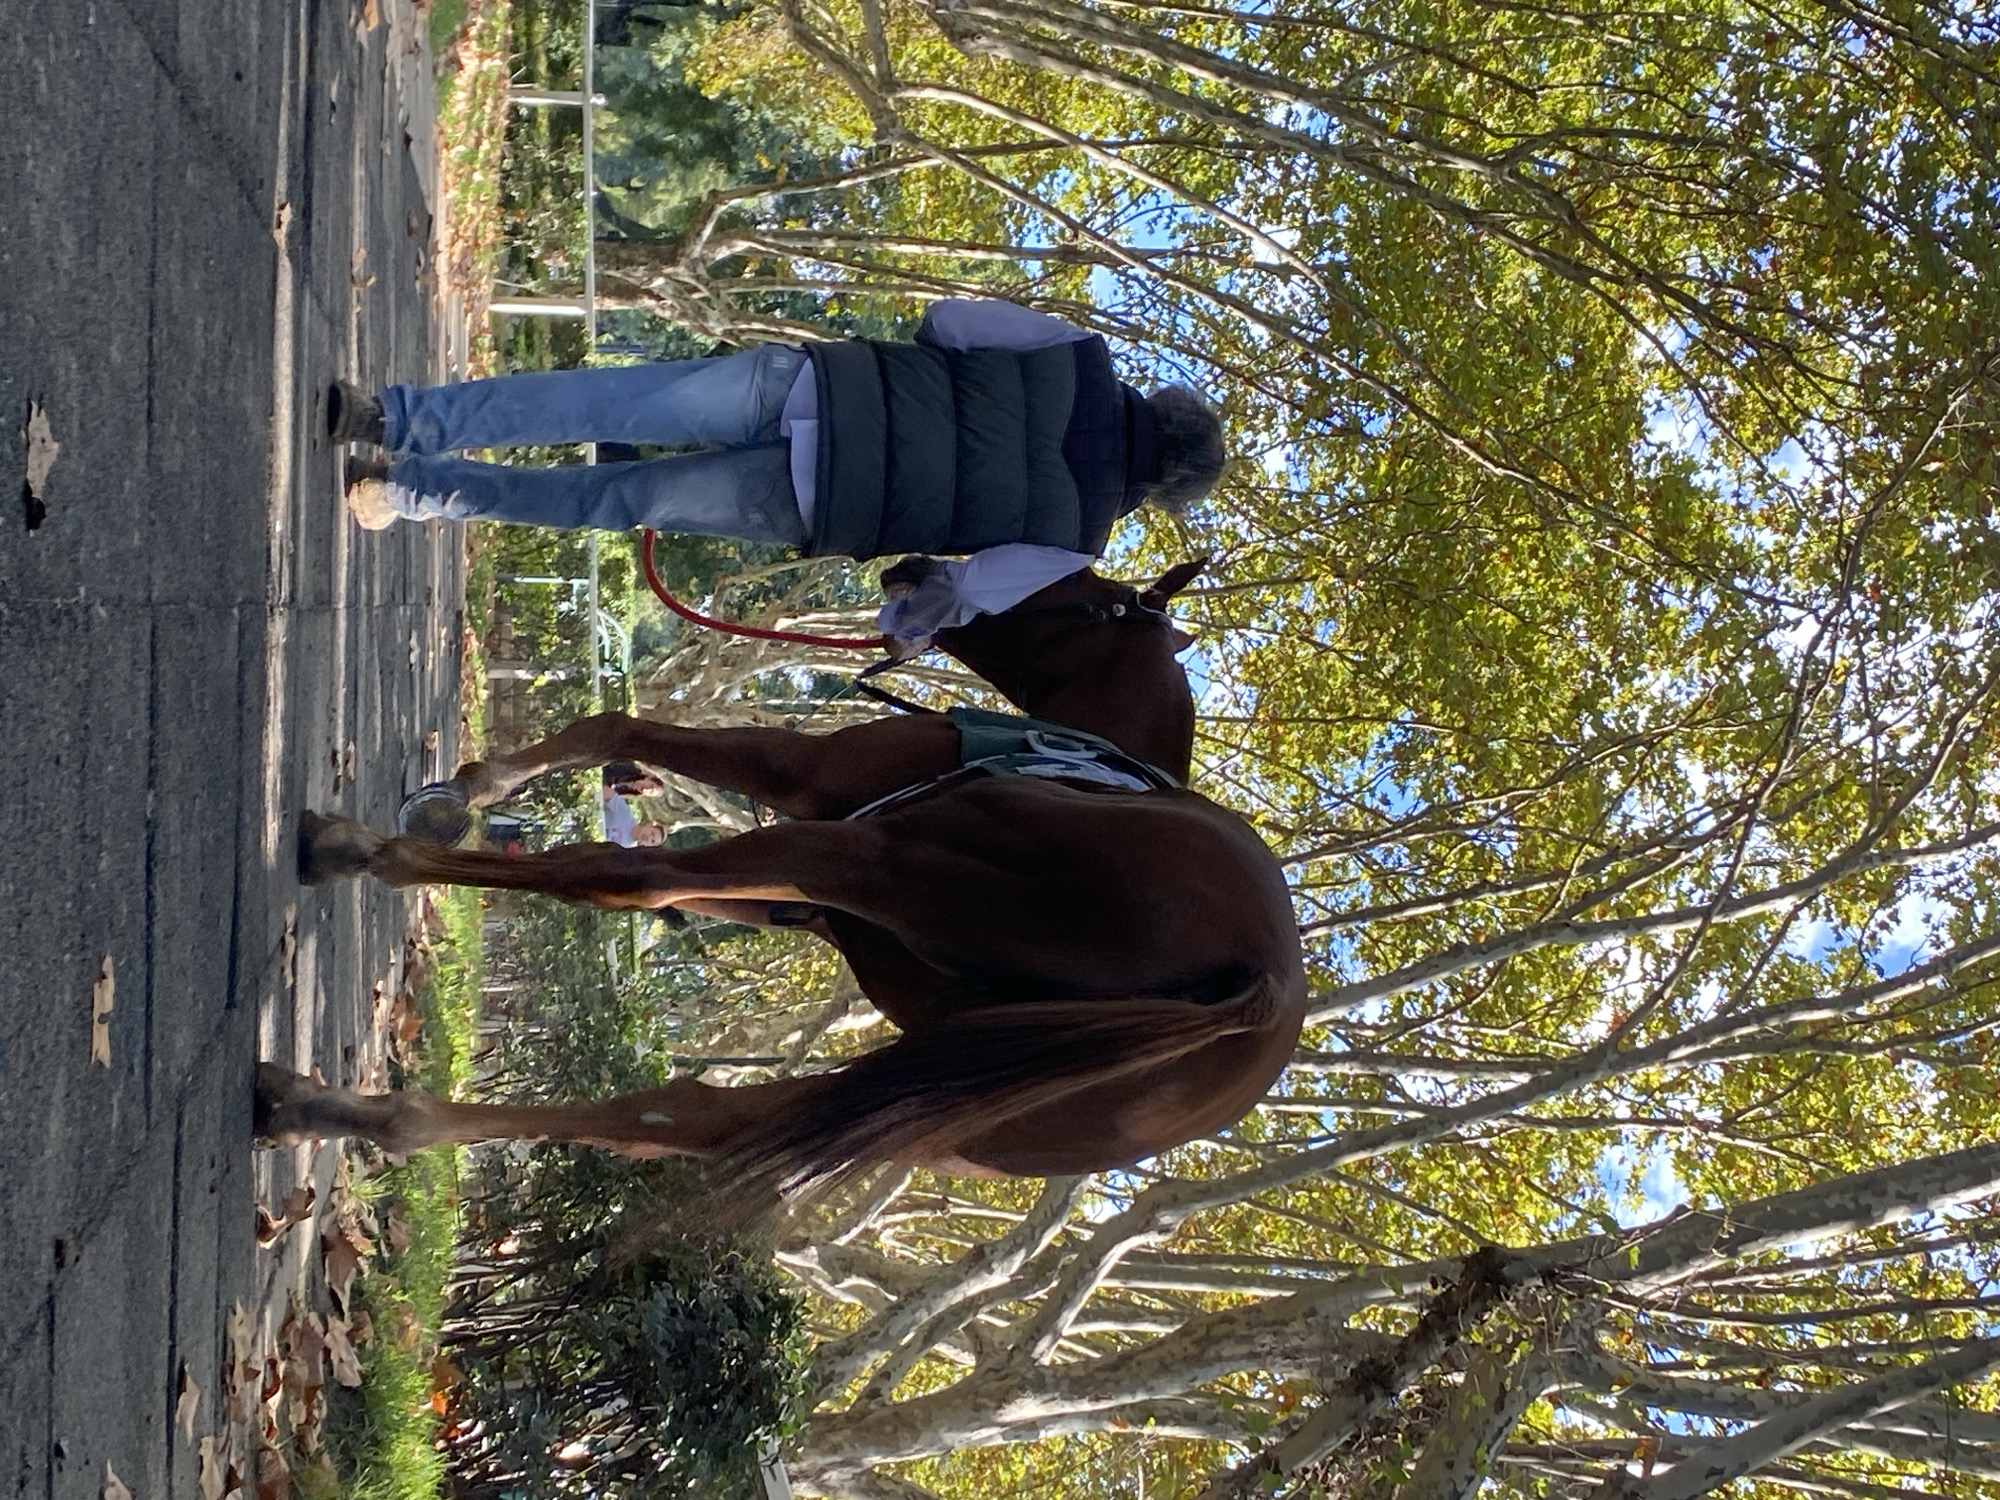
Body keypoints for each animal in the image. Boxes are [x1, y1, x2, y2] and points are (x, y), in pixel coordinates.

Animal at [258, 559, 1305, 1197]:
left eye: (1080, 592)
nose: (910, 567)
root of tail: (1260, 990)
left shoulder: (803, 793)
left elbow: (617, 732)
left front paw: (465, 793)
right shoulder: (791, 893)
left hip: (876, 863)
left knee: (614, 881)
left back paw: (361, 857)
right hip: (960, 1108)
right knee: (683, 1118)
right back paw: (347, 1111)